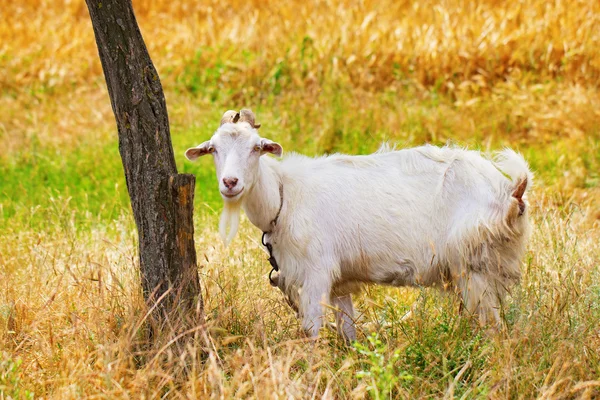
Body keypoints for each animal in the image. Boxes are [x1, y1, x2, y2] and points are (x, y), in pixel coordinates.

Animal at [185, 109, 532, 340]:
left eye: (257, 147)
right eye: (213, 148)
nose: (230, 183)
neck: (284, 195)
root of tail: (511, 191)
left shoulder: (316, 273)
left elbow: (311, 332)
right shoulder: (341, 283)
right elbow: (348, 334)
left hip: (474, 266)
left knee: (493, 327)